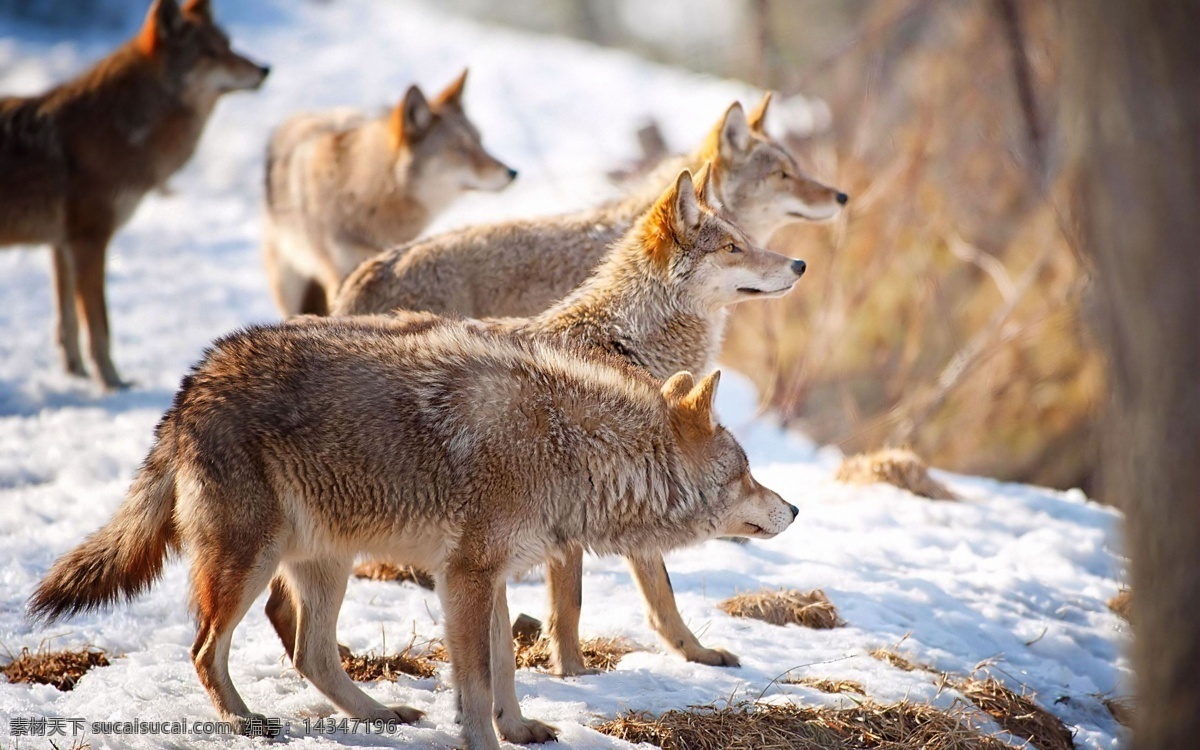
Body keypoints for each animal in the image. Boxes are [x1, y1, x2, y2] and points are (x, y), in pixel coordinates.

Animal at [0, 0, 270, 386]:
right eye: (210, 53)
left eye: (229, 46)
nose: (264, 69)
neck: (118, 128)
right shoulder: (88, 240)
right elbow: (99, 325)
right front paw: (112, 383)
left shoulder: (61, 245)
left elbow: (68, 323)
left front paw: (76, 376)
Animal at [25, 309, 796, 748]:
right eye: (748, 470)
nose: (793, 509)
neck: (569, 447)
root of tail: (191, 384)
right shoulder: (466, 578)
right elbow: (477, 684)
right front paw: (487, 743)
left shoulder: (489, 579)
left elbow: (505, 669)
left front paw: (521, 731)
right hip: (250, 563)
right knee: (205, 650)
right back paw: (246, 724)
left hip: (326, 565)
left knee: (310, 654)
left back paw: (381, 715)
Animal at [264, 166, 806, 676]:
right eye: (733, 247)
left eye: (747, 238)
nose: (800, 264)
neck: (621, 344)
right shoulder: (580, 511)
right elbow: (572, 605)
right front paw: (572, 672)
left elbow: (661, 597)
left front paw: (696, 654)